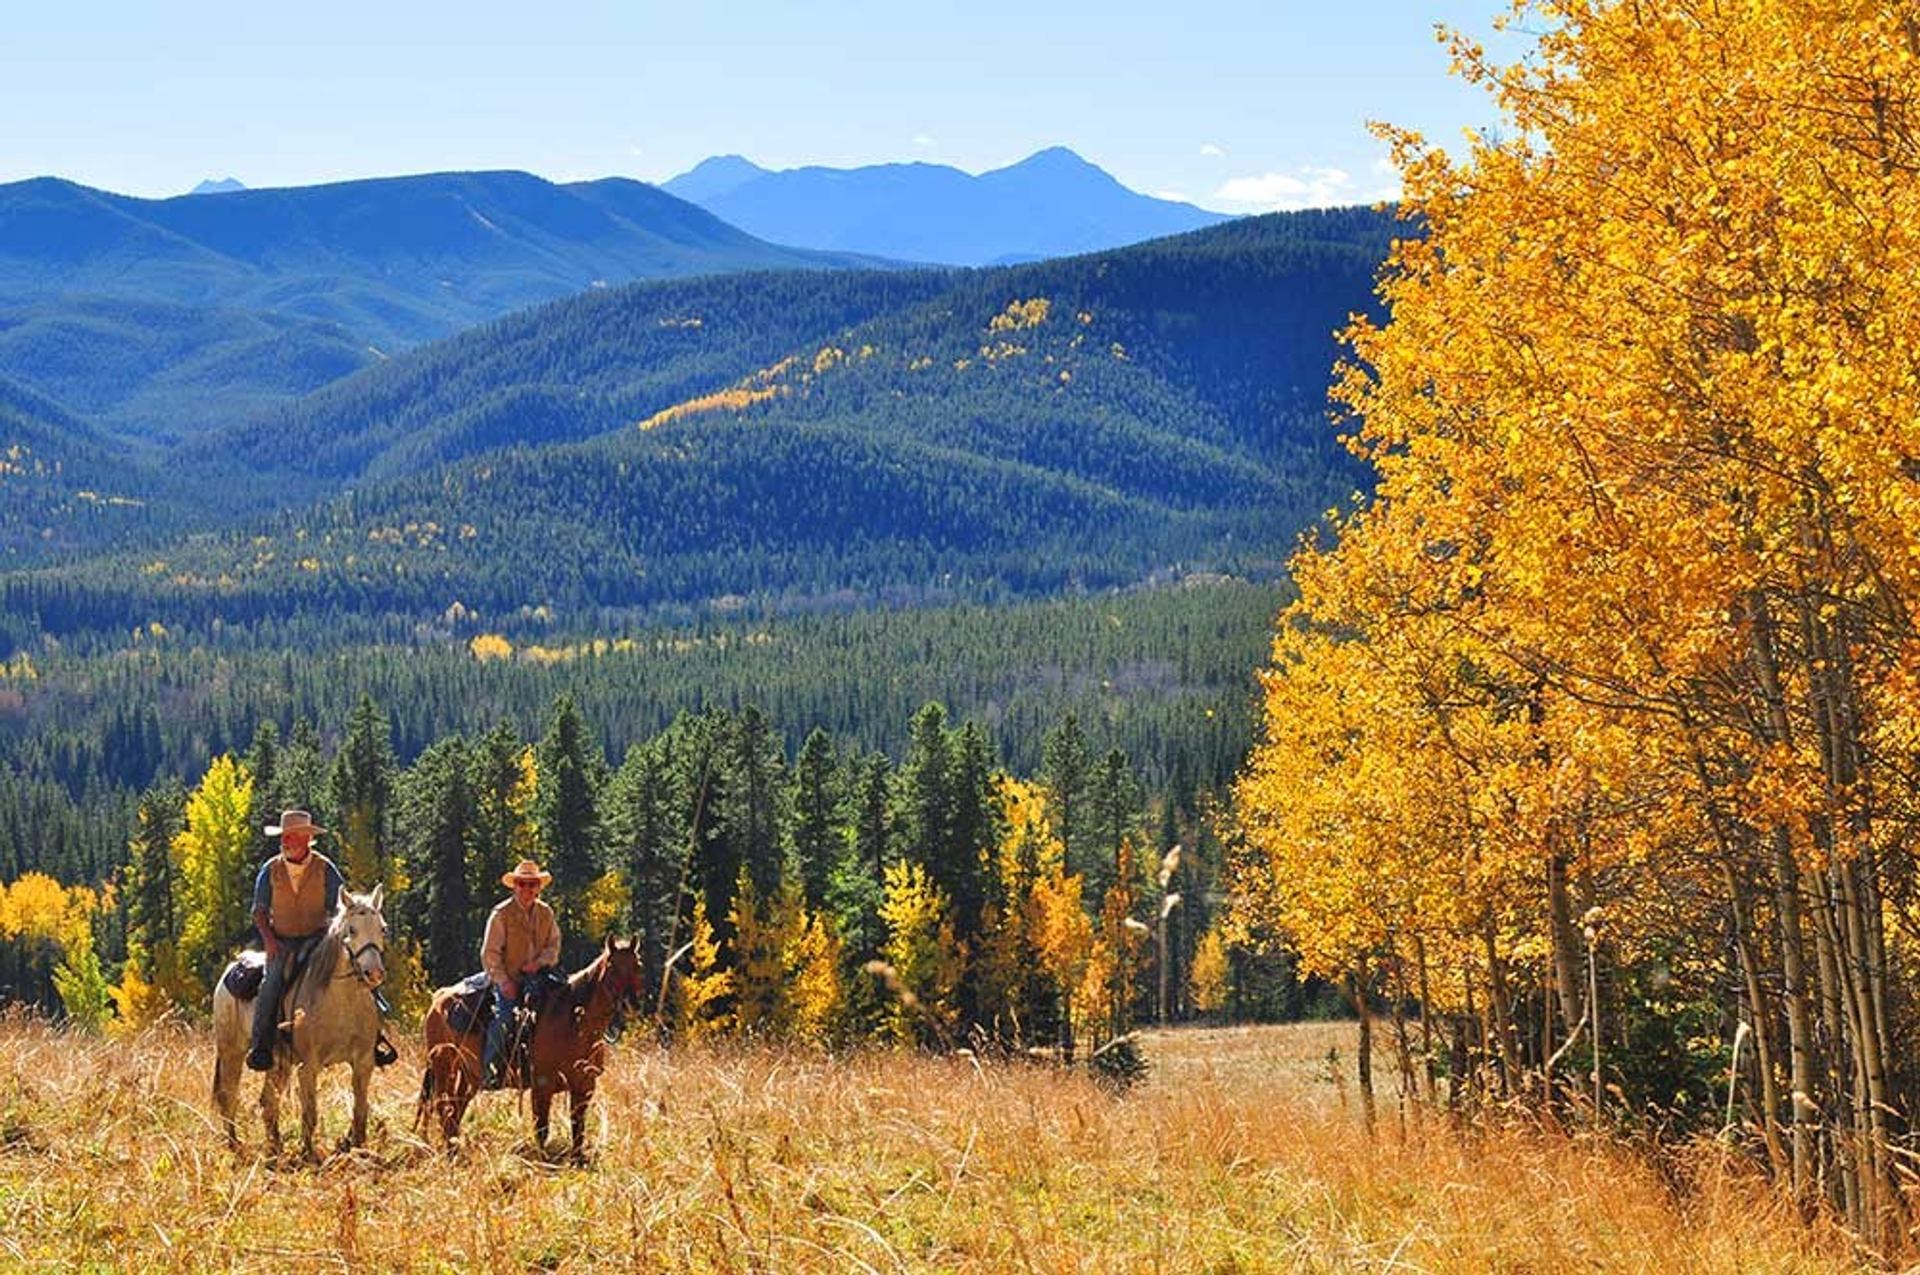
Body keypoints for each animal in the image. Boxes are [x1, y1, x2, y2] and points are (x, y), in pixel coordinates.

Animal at [212, 887, 387, 1152]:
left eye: (382, 928)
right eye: (352, 930)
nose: (374, 973)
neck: (342, 1000)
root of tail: (232, 969)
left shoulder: (363, 1063)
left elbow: (360, 1112)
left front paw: (359, 1149)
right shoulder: (309, 1066)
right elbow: (310, 1114)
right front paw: (309, 1154)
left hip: (278, 1062)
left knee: (268, 1103)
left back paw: (275, 1147)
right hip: (231, 1051)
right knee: (228, 1095)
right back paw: (235, 1145)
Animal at [414, 933, 645, 1159]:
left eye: (638, 965)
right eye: (612, 967)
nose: (631, 1003)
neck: (574, 1022)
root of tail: (438, 999)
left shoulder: (584, 1086)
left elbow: (578, 1127)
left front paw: (577, 1160)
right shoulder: (542, 1083)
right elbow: (542, 1129)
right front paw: (543, 1161)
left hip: (467, 1075)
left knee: (455, 1108)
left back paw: (454, 1148)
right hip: (443, 1067)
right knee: (443, 1106)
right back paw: (450, 1152)